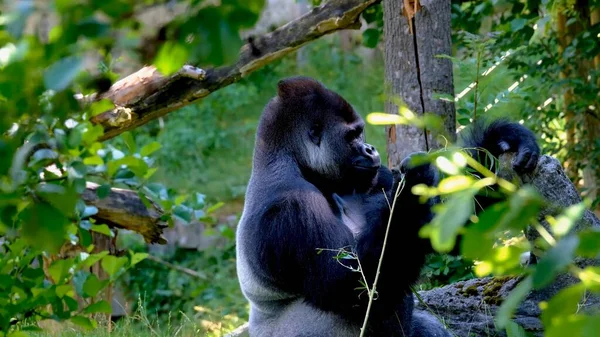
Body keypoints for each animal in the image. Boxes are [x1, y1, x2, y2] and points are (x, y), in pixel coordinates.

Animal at [234, 77, 540, 336]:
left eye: (360, 133)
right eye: (352, 136)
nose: (370, 149)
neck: (292, 162)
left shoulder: (378, 175)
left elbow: (449, 234)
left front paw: (500, 139)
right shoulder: (293, 207)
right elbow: (356, 288)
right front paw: (413, 182)